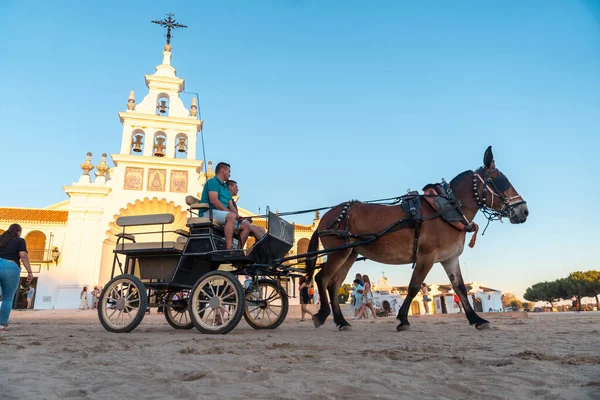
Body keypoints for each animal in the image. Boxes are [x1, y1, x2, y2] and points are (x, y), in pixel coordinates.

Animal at [308, 147, 528, 332]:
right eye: (501, 180)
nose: (524, 211)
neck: (446, 210)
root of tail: (326, 217)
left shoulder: (450, 259)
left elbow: (461, 289)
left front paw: (477, 319)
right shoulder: (426, 256)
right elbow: (414, 286)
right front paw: (403, 319)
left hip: (350, 254)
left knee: (333, 285)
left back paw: (341, 321)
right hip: (338, 252)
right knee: (322, 279)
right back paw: (322, 315)